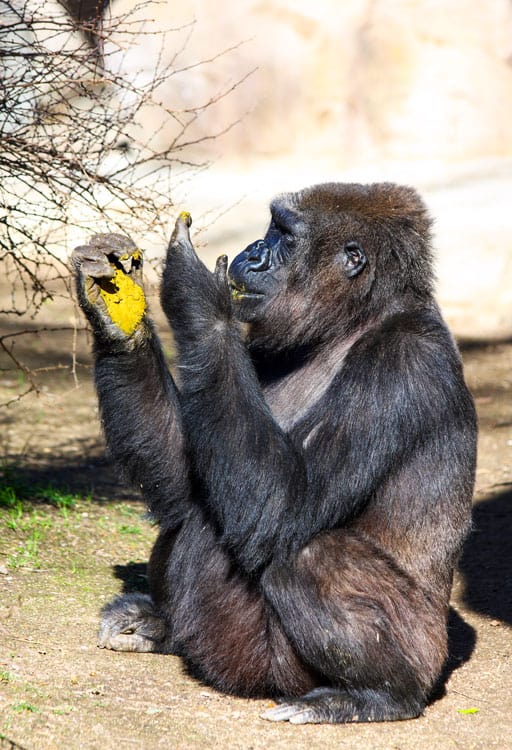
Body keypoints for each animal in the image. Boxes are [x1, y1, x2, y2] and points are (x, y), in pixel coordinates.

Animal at [71, 179, 476, 724]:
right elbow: (183, 477)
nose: (254, 252)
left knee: (304, 555)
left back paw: (377, 695)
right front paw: (118, 308)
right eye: (271, 229)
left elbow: (284, 505)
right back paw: (160, 625)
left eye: (283, 234)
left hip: (384, 659)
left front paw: (197, 292)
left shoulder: (402, 365)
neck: (354, 320)